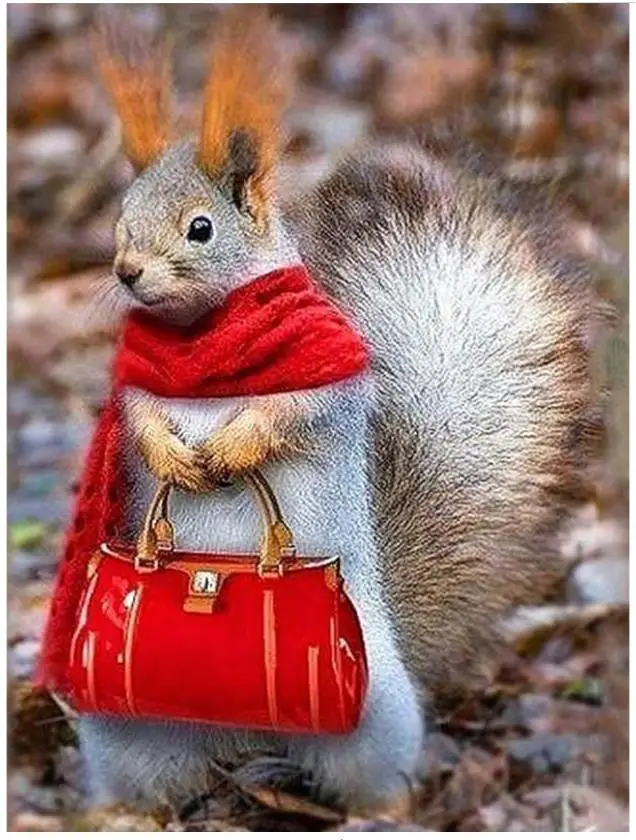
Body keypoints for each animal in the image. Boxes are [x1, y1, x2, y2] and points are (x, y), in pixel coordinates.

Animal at [44, 6, 610, 817]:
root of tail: (245, 736)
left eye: (200, 228)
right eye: (120, 218)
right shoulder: (139, 387)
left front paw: (235, 447)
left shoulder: (329, 384)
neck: (205, 340)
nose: (126, 271)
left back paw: (378, 812)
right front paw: (172, 453)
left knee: (374, 775)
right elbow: (145, 418)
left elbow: (294, 415)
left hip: (367, 712)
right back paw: (122, 813)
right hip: (128, 726)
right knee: (156, 780)